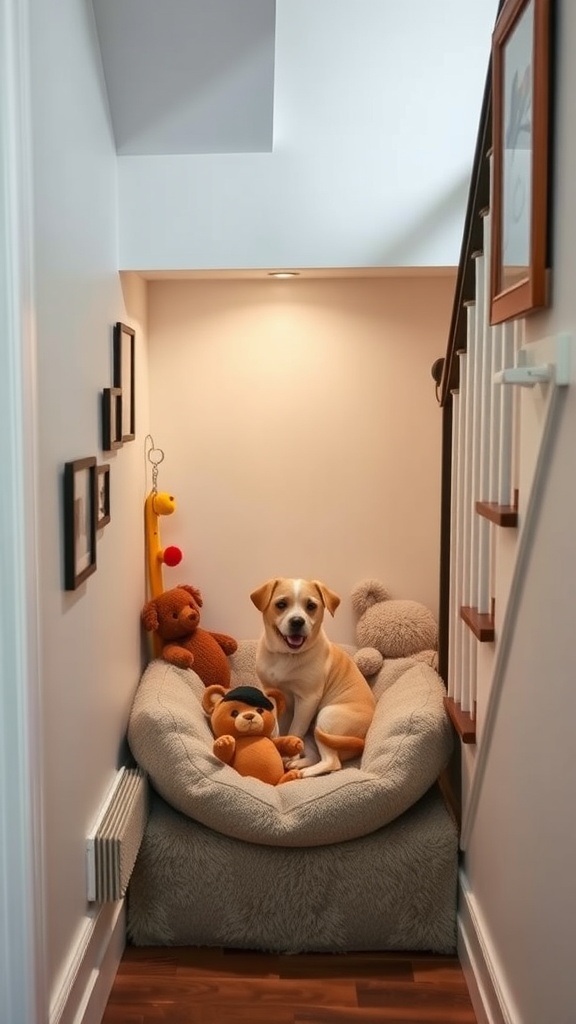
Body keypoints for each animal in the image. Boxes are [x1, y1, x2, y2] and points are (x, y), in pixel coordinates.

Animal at [249, 577, 375, 774]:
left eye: (311, 606)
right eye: (281, 604)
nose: (297, 621)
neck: (286, 656)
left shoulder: (307, 700)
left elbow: (294, 730)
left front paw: (288, 752)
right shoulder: (273, 693)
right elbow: (280, 726)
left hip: (326, 718)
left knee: (332, 762)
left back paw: (301, 771)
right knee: (316, 756)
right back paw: (296, 764)